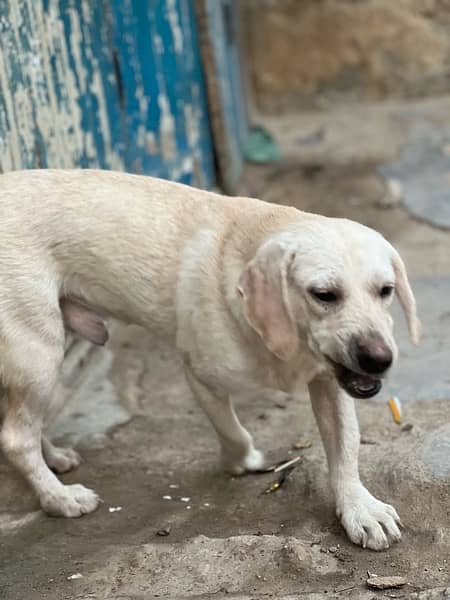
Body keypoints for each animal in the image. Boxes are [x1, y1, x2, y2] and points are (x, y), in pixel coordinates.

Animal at [0, 168, 422, 548]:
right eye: (324, 295)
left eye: (386, 290)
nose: (379, 359)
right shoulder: (200, 375)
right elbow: (234, 432)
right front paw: (243, 462)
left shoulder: (329, 383)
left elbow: (346, 447)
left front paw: (359, 508)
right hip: (38, 353)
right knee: (16, 437)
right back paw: (58, 498)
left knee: (24, 424)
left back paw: (55, 458)